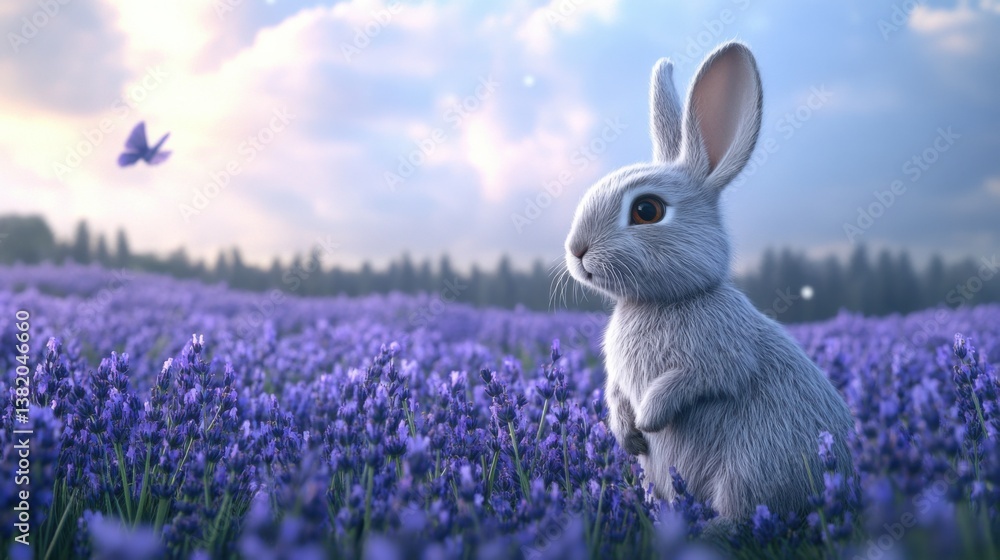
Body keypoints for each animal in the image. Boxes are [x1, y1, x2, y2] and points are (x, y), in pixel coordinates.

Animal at [563, 41, 855, 527]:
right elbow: (616, 395)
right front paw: (628, 433)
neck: (662, 301)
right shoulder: (618, 380)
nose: (576, 250)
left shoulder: (721, 355)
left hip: (749, 465)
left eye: (646, 210)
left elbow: (697, 379)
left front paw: (649, 419)